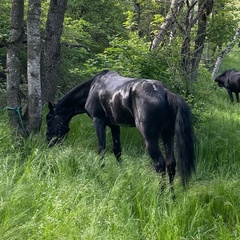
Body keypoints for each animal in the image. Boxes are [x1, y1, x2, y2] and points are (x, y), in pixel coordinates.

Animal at [45, 70, 195, 193]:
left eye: (49, 121)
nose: (48, 142)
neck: (93, 87)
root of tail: (165, 92)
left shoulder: (98, 121)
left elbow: (101, 149)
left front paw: (102, 173)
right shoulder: (114, 125)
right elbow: (117, 151)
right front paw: (121, 174)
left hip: (150, 139)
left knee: (160, 165)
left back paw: (161, 196)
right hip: (167, 136)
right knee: (171, 165)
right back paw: (172, 197)